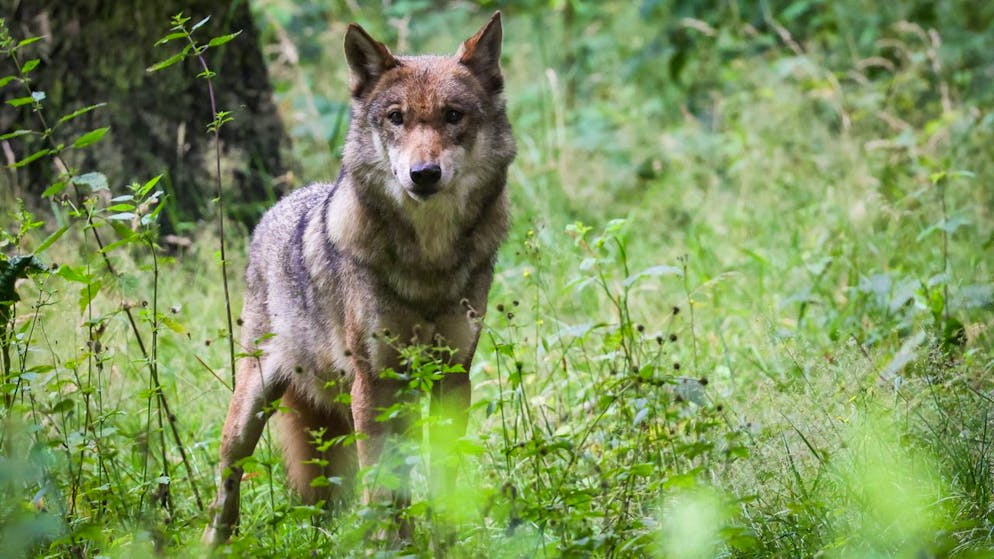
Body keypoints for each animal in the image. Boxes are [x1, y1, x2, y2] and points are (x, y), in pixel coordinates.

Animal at [201, 12, 512, 548]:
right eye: (396, 117)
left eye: (453, 116)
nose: (423, 174)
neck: (428, 262)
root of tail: (279, 206)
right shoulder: (373, 381)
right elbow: (380, 484)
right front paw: (388, 547)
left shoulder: (452, 377)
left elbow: (443, 476)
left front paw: (443, 542)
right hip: (253, 407)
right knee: (228, 479)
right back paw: (214, 542)